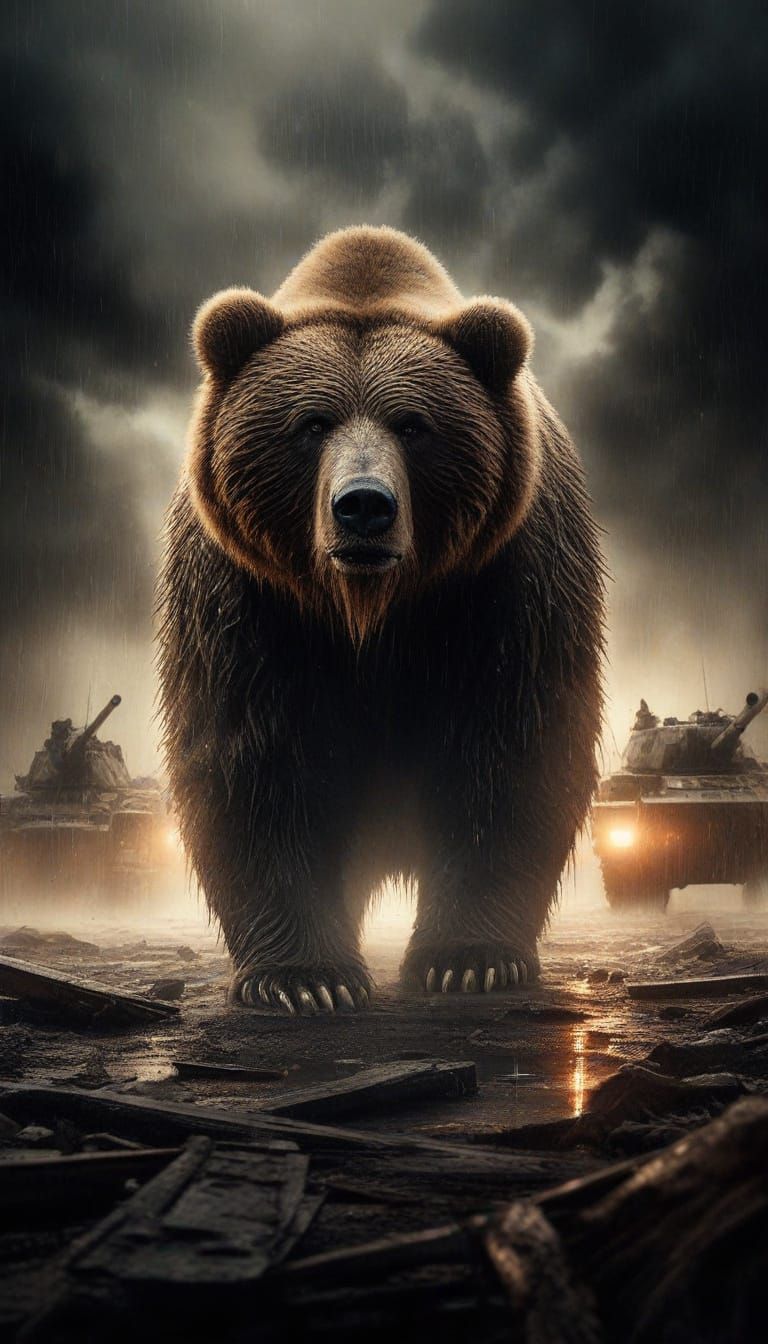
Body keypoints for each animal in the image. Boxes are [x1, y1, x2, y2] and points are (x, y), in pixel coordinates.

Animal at [157, 225, 605, 1014]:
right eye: (311, 424)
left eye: (413, 424)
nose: (363, 505)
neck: (371, 609)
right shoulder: (245, 598)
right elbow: (252, 759)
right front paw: (305, 978)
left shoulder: (510, 582)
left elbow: (512, 747)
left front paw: (469, 960)